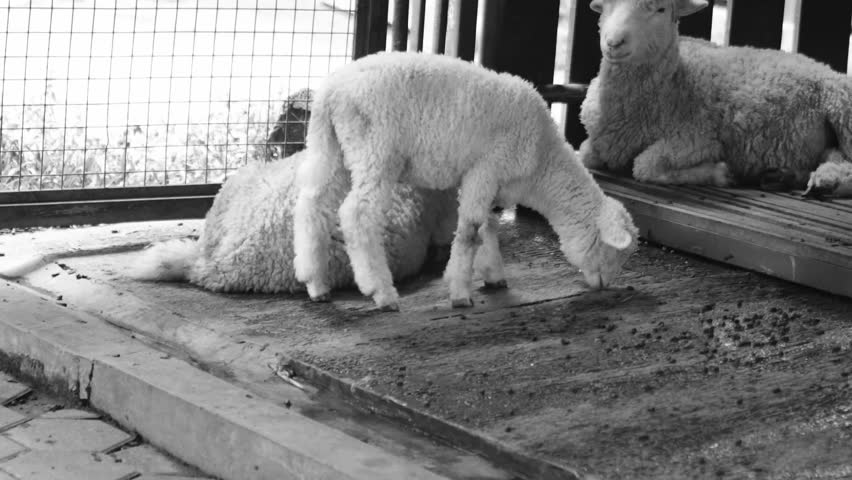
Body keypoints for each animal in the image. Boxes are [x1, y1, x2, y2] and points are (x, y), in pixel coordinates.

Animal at [293, 51, 638, 311]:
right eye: (615, 252)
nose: (605, 286)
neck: (542, 162)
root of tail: (330, 92)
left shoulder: (483, 179)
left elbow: (487, 227)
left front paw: (493, 275)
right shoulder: (486, 169)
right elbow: (471, 232)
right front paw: (460, 292)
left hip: (332, 147)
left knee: (311, 204)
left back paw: (315, 282)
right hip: (375, 151)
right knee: (357, 215)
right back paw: (381, 292)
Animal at [579, 0, 852, 197]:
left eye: (660, 9)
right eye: (606, 5)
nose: (614, 42)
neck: (676, 81)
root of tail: (824, 66)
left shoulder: (697, 139)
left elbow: (645, 164)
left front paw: (721, 173)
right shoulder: (598, 139)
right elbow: (585, 154)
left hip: (842, 108)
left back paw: (826, 183)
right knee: (833, 155)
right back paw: (786, 177)